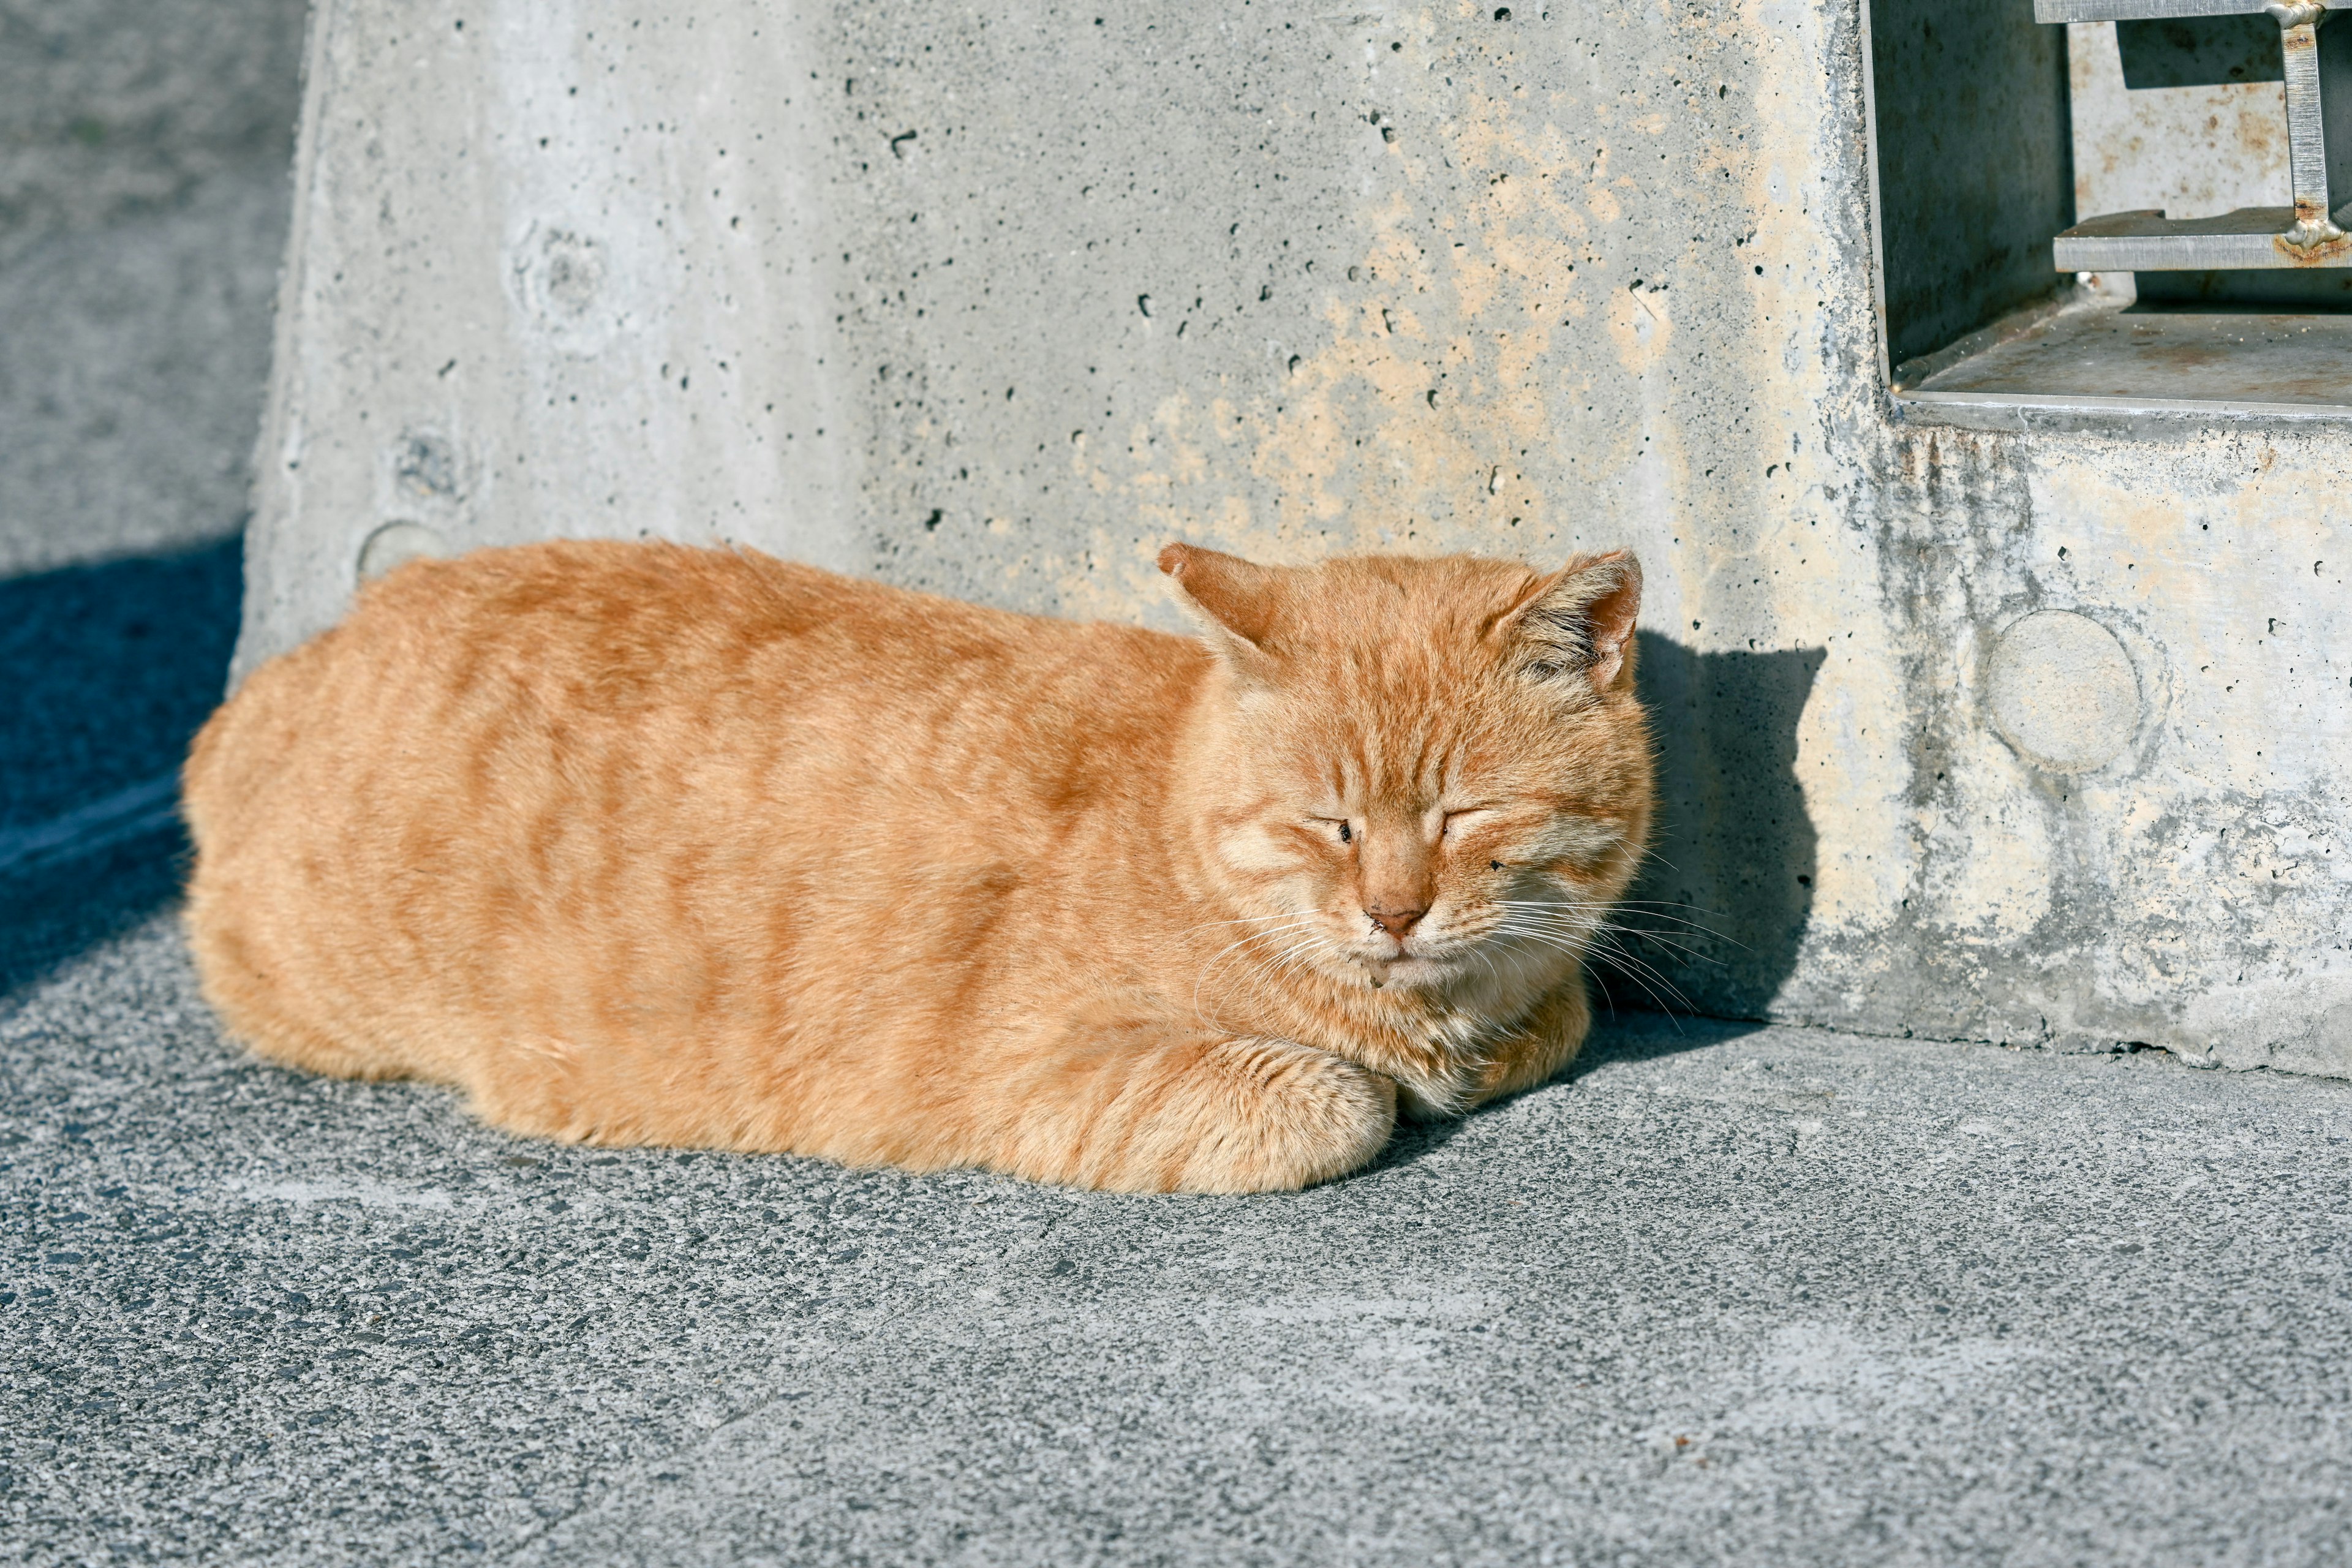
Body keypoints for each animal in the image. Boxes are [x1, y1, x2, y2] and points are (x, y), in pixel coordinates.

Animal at [183, 540, 1656, 1189]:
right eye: (1329, 822)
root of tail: (290, 666)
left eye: (1465, 814)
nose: (1395, 910)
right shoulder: (1040, 1073)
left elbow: (1564, 1006)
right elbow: (1336, 1099)